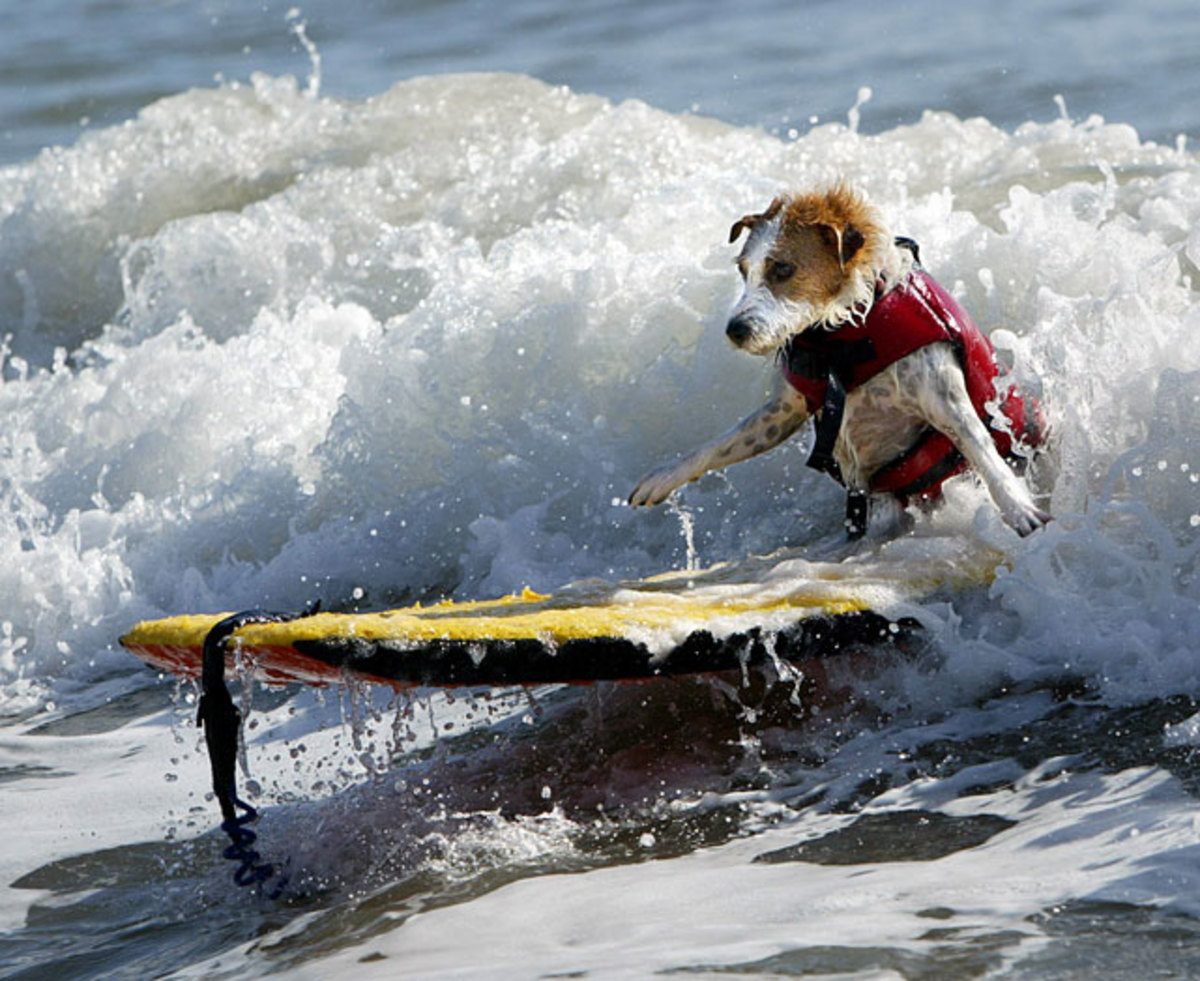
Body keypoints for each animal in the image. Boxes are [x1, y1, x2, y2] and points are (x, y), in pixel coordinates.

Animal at [628, 183, 1051, 534]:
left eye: (783, 268)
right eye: (743, 270)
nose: (735, 330)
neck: (847, 332)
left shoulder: (940, 393)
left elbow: (979, 444)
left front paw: (1018, 508)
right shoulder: (787, 409)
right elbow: (720, 445)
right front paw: (663, 477)